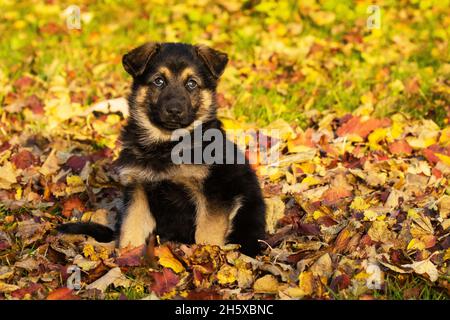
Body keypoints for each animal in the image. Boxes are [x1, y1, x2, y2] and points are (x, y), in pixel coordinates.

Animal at [57, 43, 268, 258]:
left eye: (191, 84)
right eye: (159, 81)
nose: (174, 110)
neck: (168, 144)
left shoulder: (213, 194)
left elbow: (207, 234)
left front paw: (205, 257)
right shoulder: (137, 190)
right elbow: (131, 229)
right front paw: (127, 257)